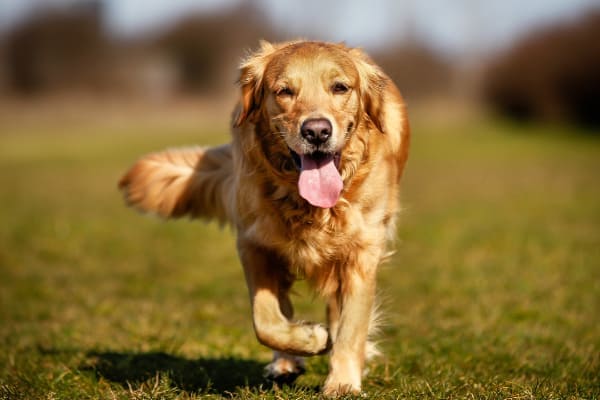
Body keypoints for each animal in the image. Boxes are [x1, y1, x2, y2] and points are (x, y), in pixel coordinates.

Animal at [118, 40, 408, 396]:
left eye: (340, 87)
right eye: (284, 91)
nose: (316, 131)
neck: (307, 203)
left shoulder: (361, 251)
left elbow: (352, 324)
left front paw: (342, 382)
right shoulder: (254, 244)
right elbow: (265, 320)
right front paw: (309, 337)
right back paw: (286, 361)